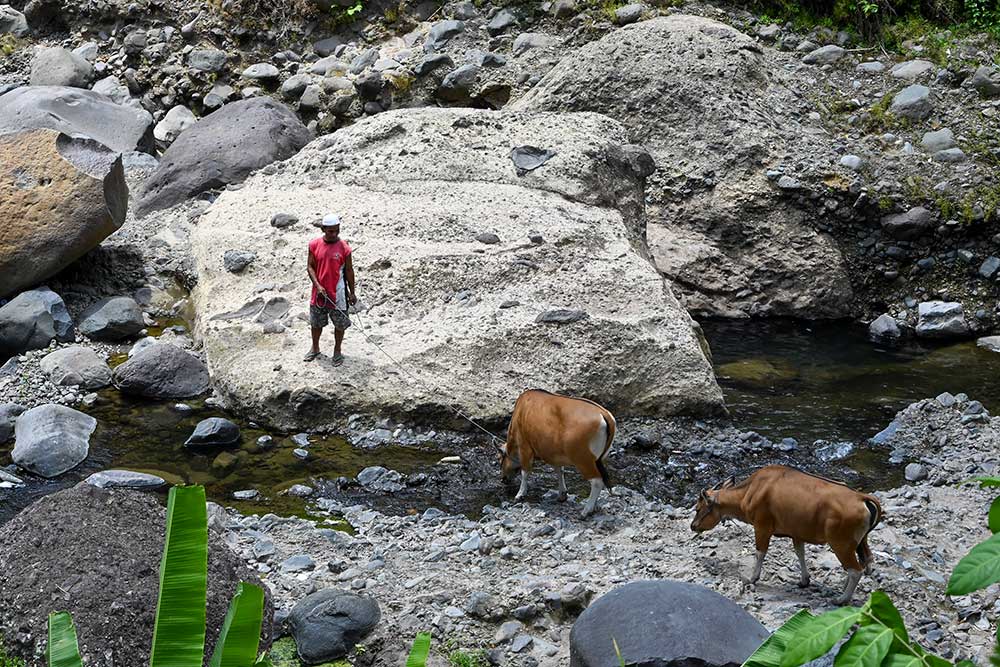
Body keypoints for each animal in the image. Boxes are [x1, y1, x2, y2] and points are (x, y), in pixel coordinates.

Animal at [688, 464, 884, 604]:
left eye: (697, 508)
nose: (693, 526)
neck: (750, 492)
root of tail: (861, 497)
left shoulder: (762, 527)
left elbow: (760, 553)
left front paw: (752, 578)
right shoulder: (797, 534)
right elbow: (800, 553)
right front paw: (804, 580)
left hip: (841, 544)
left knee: (856, 570)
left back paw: (842, 599)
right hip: (861, 542)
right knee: (866, 561)